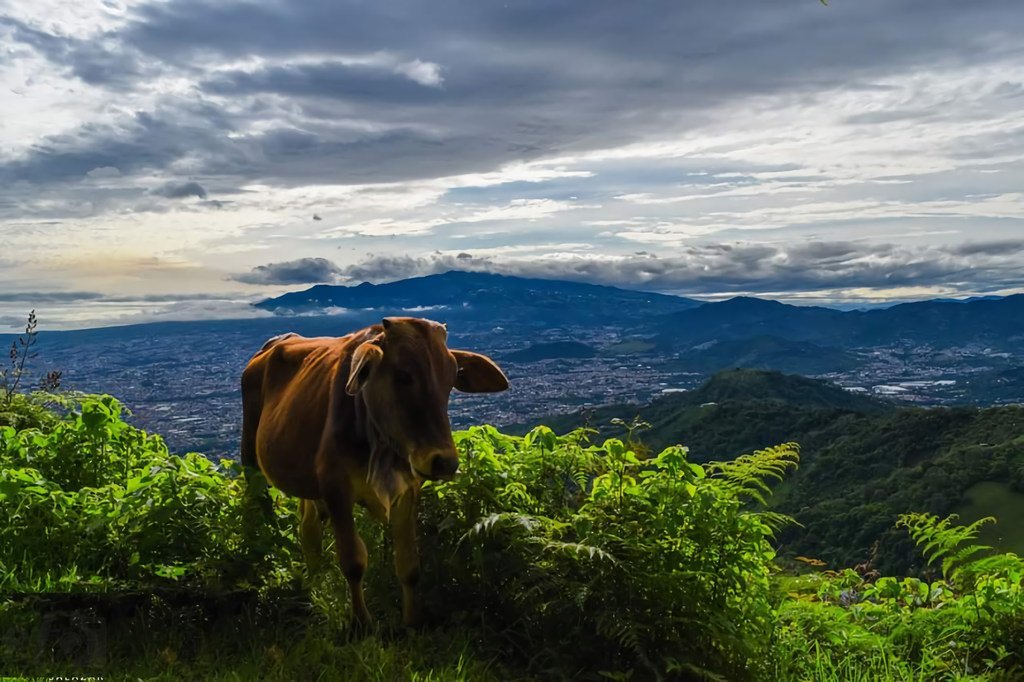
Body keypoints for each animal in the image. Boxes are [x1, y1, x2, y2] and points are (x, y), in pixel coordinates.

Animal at [240, 315, 512, 622]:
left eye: (452, 378)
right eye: (402, 375)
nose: (444, 462)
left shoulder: (407, 490)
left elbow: (409, 564)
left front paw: (412, 621)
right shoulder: (335, 488)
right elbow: (353, 562)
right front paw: (361, 622)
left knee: (308, 530)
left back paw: (315, 583)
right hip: (250, 462)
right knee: (255, 513)